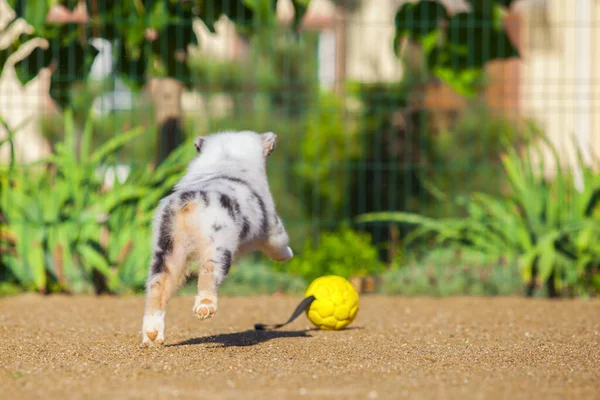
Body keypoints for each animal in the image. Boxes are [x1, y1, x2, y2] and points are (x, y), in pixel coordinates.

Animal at [139, 131, 292, 346]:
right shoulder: (272, 226)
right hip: (219, 248)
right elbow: (280, 244)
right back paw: (205, 307)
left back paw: (152, 334)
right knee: (207, 275)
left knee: (157, 288)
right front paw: (288, 255)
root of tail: (190, 201)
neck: (227, 159)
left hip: (167, 251)